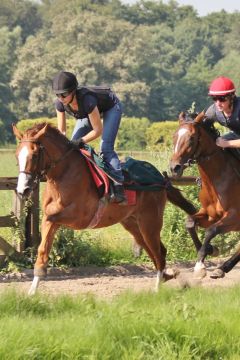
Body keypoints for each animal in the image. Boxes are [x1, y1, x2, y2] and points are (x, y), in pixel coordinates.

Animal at [12, 122, 197, 294]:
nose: (23, 190)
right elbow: (43, 250)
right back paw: (169, 276)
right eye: (17, 155)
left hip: (150, 222)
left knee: (158, 253)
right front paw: (32, 292)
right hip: (133, 224)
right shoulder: (49, 220)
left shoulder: (79, 217)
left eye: (35, 154)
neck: (64, 174)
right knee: (157, 251)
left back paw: (158, 288)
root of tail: (161, 178)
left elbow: (54, 217)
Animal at [170, 111, 240, 280]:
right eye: (174, 136)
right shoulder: (210, 215)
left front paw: (200, 266)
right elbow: (189, 222)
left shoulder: (235, 217)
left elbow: (211, 231)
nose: (174, 168)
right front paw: (210, 250)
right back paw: (222, 268)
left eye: (191, 138)